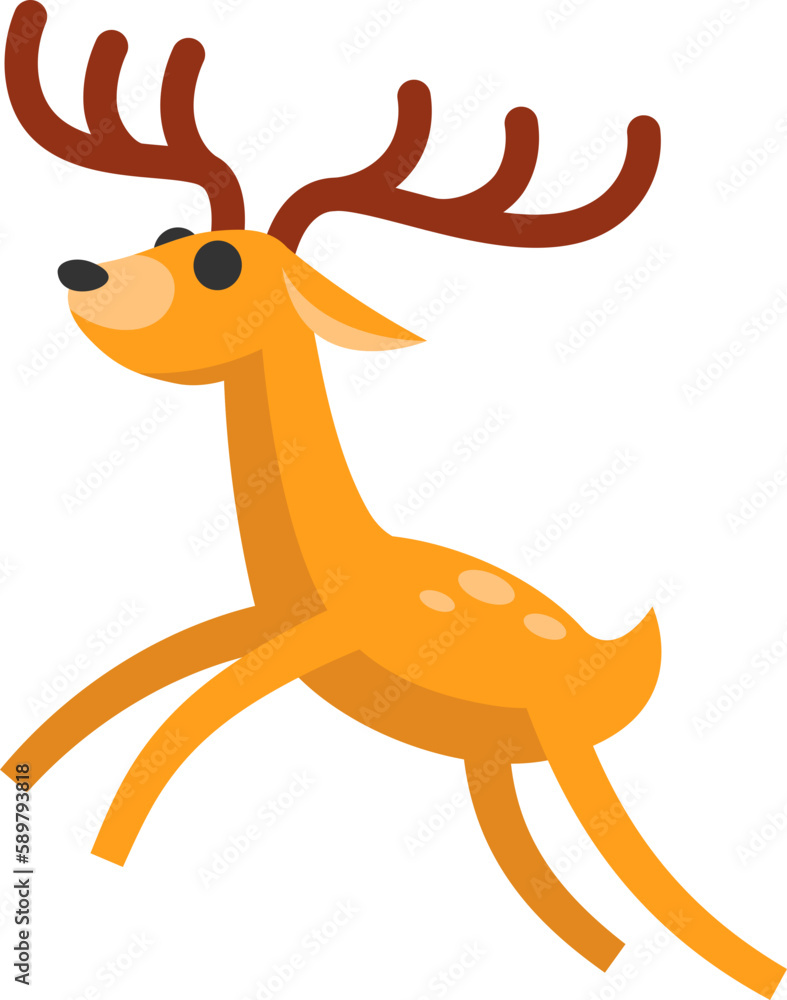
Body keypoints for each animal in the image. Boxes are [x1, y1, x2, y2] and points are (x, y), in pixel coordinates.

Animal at [3, 2, 783, 996]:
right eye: (172, 230)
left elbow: (186, 719)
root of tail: (613, 660)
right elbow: (139, 676)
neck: (339, 563)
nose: (81, 275)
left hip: (561, 746)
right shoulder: (265, 621)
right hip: (494, 762)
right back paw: (606, 957)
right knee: (578, 912)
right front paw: (24, 769)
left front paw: (110, 848)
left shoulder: (317, 639)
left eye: (219, 266)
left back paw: (747, 966)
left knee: (648, 882)